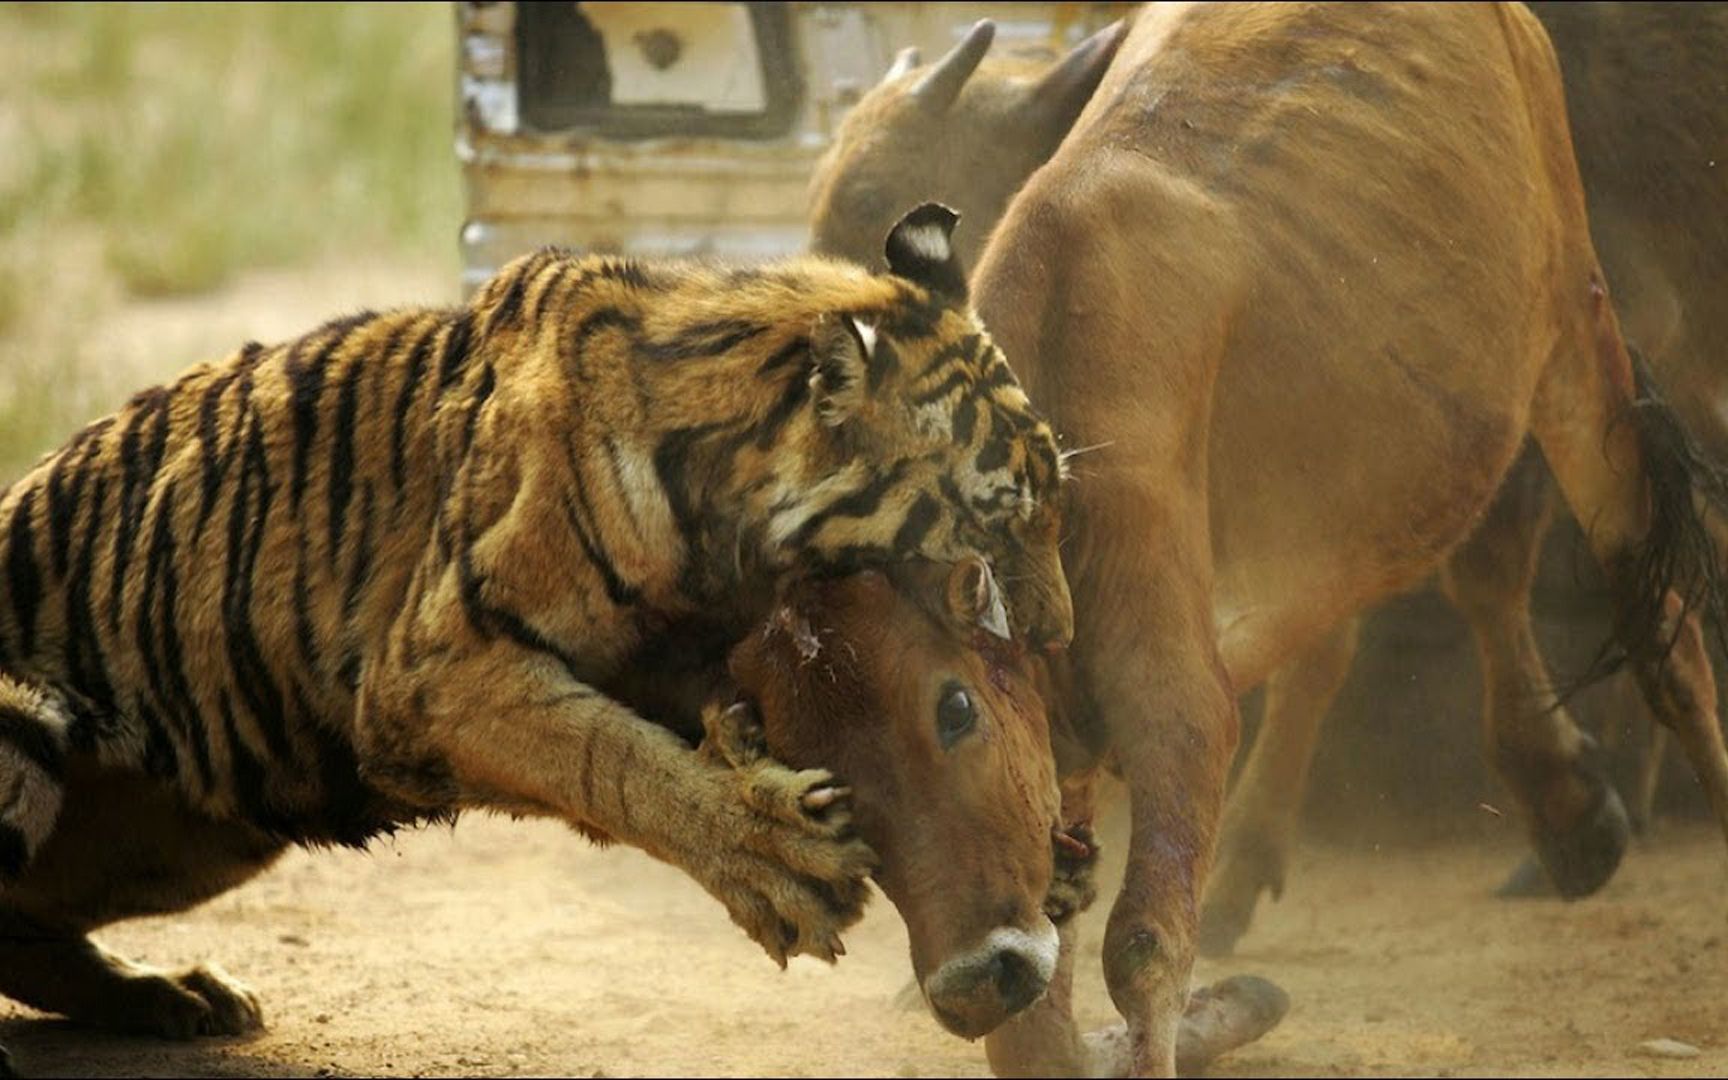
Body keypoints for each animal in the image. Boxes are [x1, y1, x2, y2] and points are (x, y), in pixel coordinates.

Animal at [0, 202, 1064, 1050]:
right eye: (1001, 517)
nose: (1053, 638)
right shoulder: (429, 676)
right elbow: (610, 762)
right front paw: (774, 860)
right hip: (30, 734)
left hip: (208, 828)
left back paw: (176, 996)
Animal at [812, 4, 1728, 1071]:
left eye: (950, 710)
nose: (962, 980)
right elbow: (1044, 1020)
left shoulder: (1179, 702)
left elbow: (1145, 945)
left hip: (1578, 328)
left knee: (1653, 619)